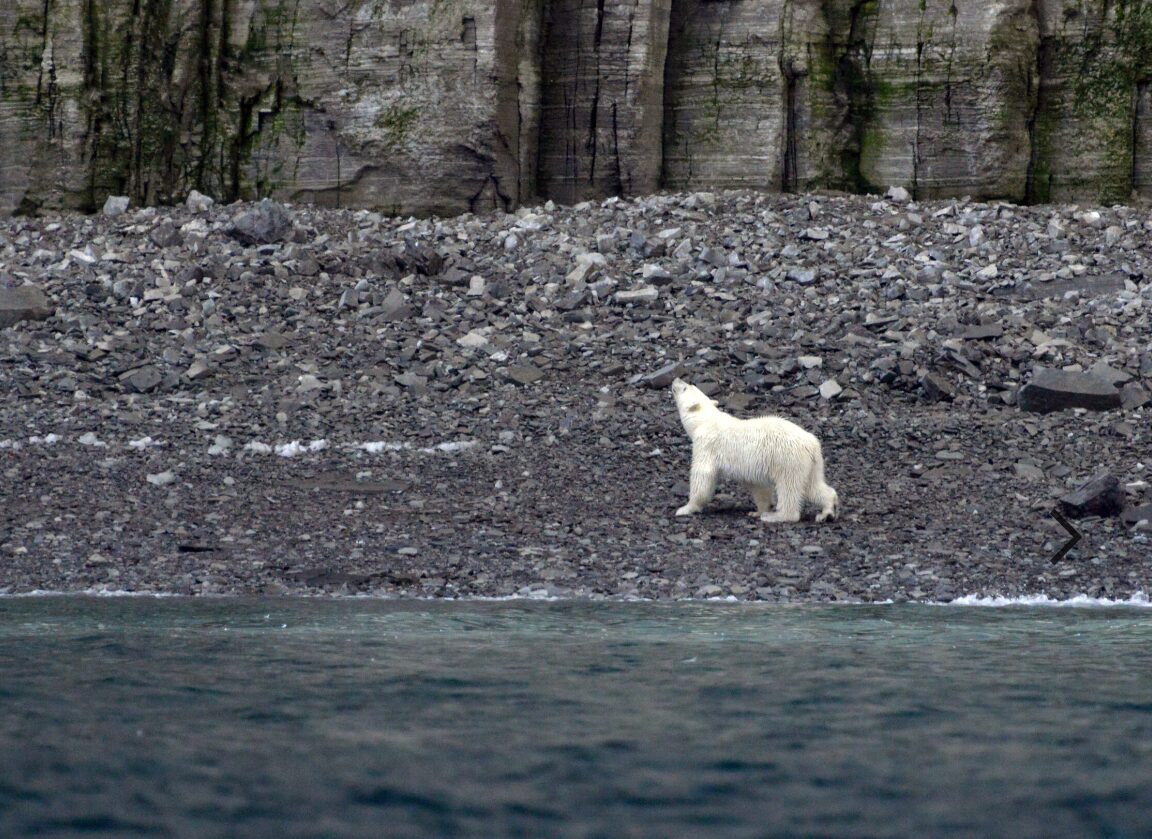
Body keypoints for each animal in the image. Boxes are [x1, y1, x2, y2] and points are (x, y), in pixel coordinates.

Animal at [671, 378, 839, 523]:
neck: (705, 421)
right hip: (810, 464)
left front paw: (686, 508)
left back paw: (776, 516)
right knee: (812, 486)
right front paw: (757, 511)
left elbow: (703, 475)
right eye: (689, 384)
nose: (677, 379)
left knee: (789, 487)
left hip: (788, 459)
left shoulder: (706, 445)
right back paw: (826, 511)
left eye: (686, 387)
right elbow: (758, 486)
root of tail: (812, 443)